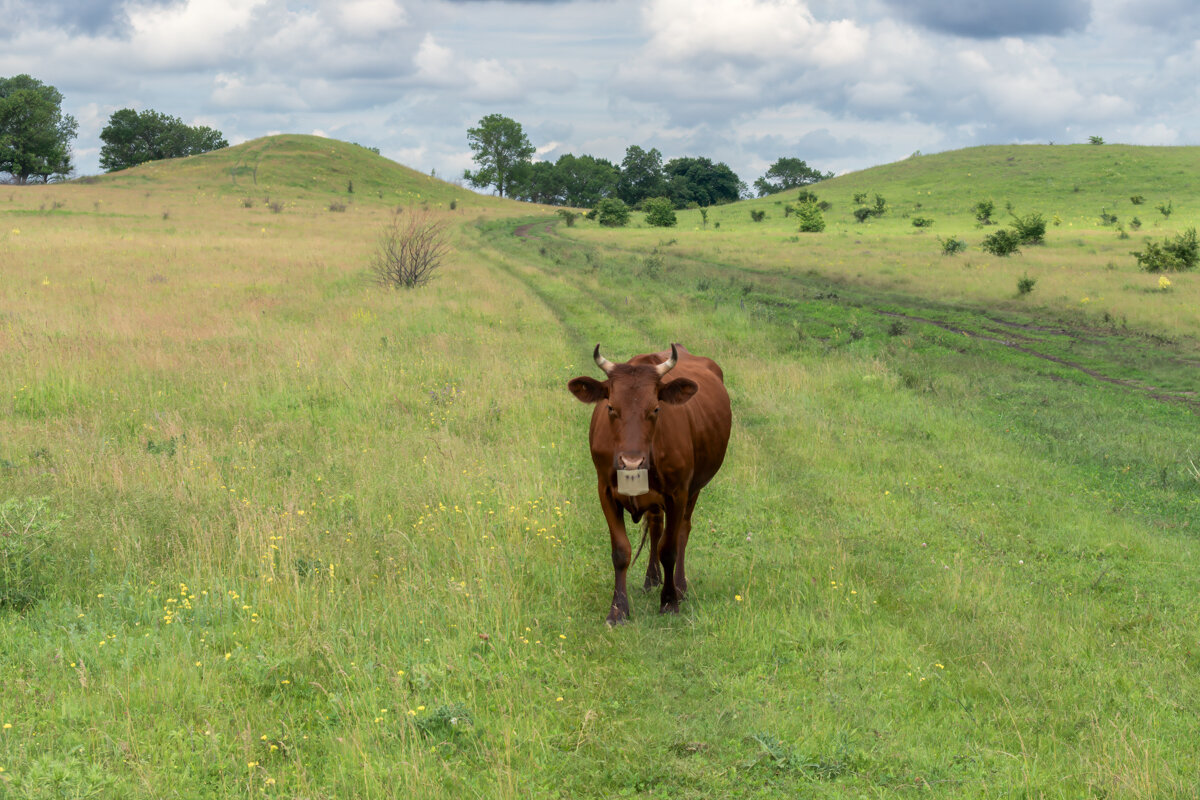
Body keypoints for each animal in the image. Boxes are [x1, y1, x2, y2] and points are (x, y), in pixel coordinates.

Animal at [568, 345, 729, 623]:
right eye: (610, 407)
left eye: (655, 409)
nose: (631, 462)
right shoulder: (605, 491)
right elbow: (621, 551)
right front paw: (618, 610)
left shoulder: (678, 493)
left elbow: (669, 548)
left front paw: (669, 601)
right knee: (655, 526)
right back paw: (651, 579)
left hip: (694, 489)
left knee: (683, 530)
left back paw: (680, 586)